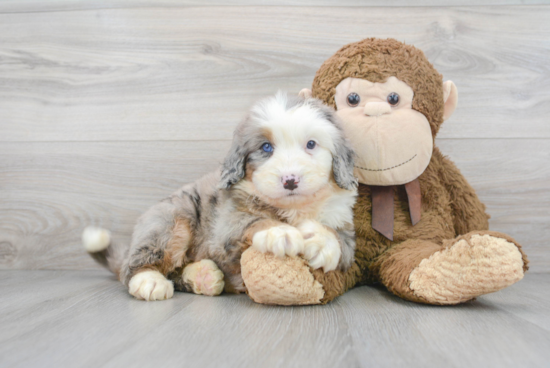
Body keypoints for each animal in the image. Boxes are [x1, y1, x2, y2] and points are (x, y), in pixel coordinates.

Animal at [82, 92, 358, 302]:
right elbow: (255, 220)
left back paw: (203, 277)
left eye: (311, 144)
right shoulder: (225, 226)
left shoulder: (345, 226)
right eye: (266, 148)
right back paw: (149, 281)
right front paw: (279, 233)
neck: (294, 208)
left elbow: (339, 239)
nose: (290, 180)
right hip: (171, 222)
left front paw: (321, 242)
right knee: (134, 267)